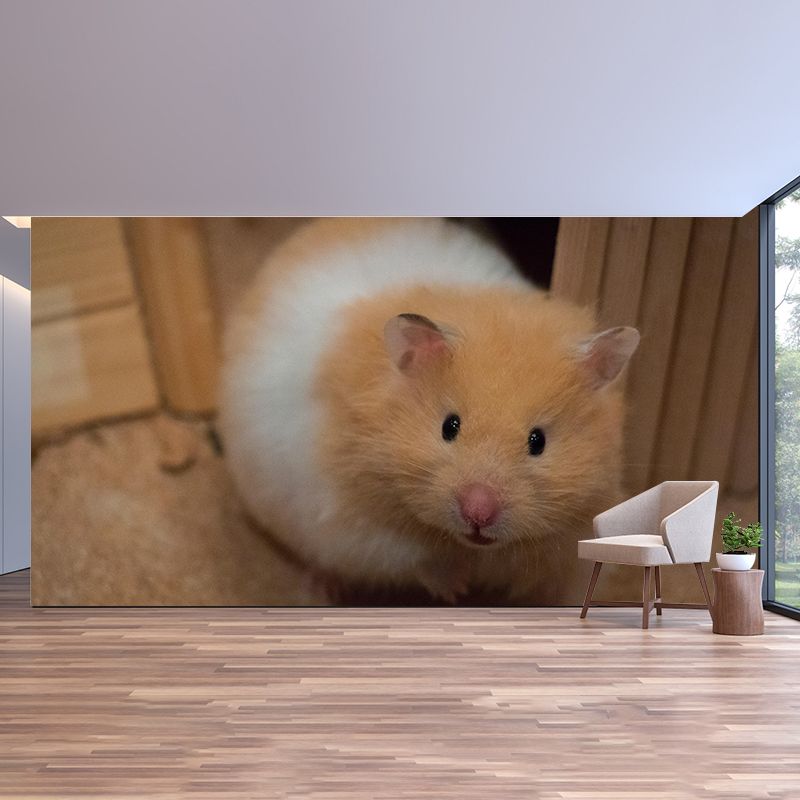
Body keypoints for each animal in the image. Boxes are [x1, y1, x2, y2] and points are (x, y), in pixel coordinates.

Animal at [220, 218, 639, 604]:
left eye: (538, 441)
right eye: (449, 427)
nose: (478, 513)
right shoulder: (355, 528)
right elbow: (413, 557)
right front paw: (457, 589)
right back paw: (324, 588)